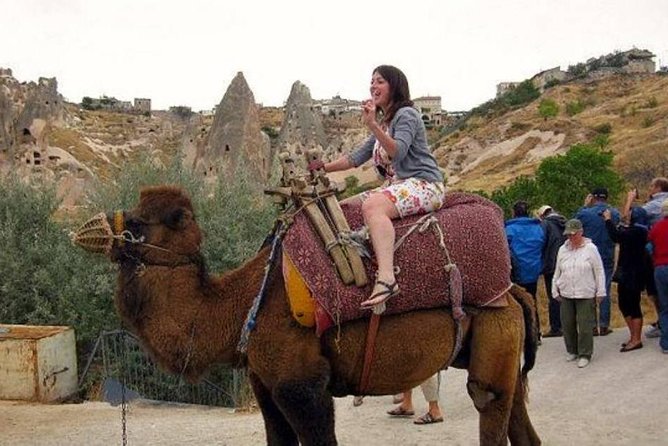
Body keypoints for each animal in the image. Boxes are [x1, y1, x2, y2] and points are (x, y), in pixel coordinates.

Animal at [75, 185, 541, 445]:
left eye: (143, 221)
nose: (88, 229)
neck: (245, 306)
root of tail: (513, 290)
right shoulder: (265, 386)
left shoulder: (303, 387)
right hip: (501, 347)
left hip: (494, 333)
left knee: (487, 401)